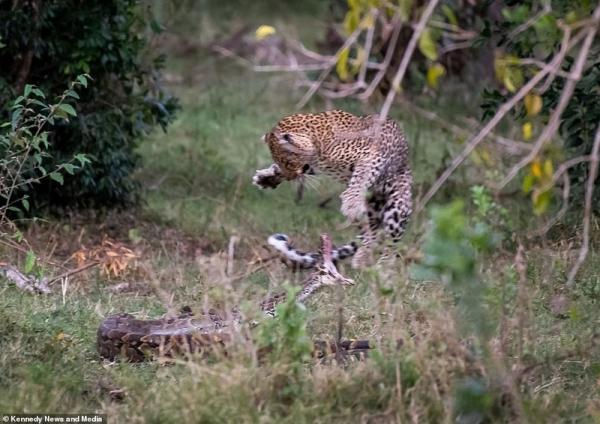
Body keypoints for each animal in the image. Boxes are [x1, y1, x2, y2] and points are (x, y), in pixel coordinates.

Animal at [253, 109, 412, 268]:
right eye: (280, 162)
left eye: (288, 162)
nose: (290, 177)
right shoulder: (314, 165)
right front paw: (266, 178)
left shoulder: (373, 155)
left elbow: (361, 175)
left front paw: (351, 202)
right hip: (371, 211)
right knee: (370, 233)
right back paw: (361, 258)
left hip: (398, 208)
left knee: (391, 242)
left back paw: (382, 265)